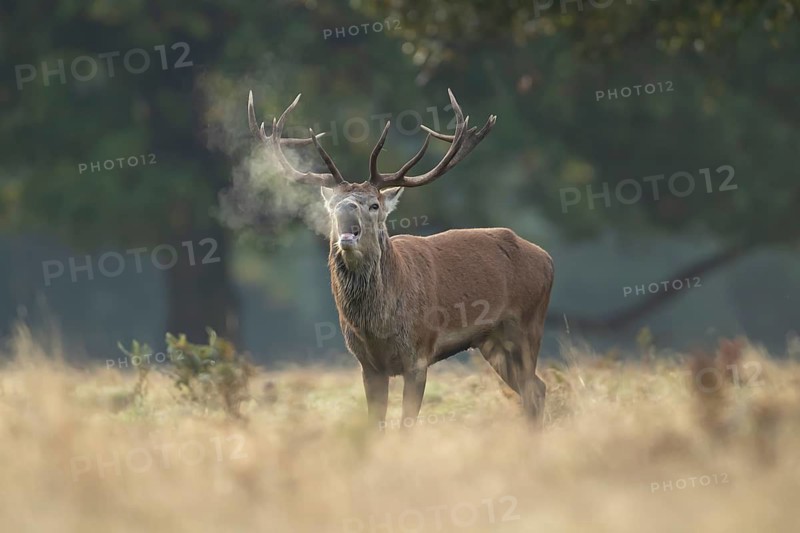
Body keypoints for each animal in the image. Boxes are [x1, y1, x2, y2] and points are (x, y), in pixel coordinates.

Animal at [247, 88, 554, 427]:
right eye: (333, 204)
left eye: (374, 205)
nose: (347, 211)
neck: (378, 327)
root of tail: (547, 258)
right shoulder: (367, 365)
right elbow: (375, 424)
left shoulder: (418, 355)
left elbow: (407, 423)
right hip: (492, 341)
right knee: (535, 388)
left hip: (528, 326)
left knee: (533, 388)